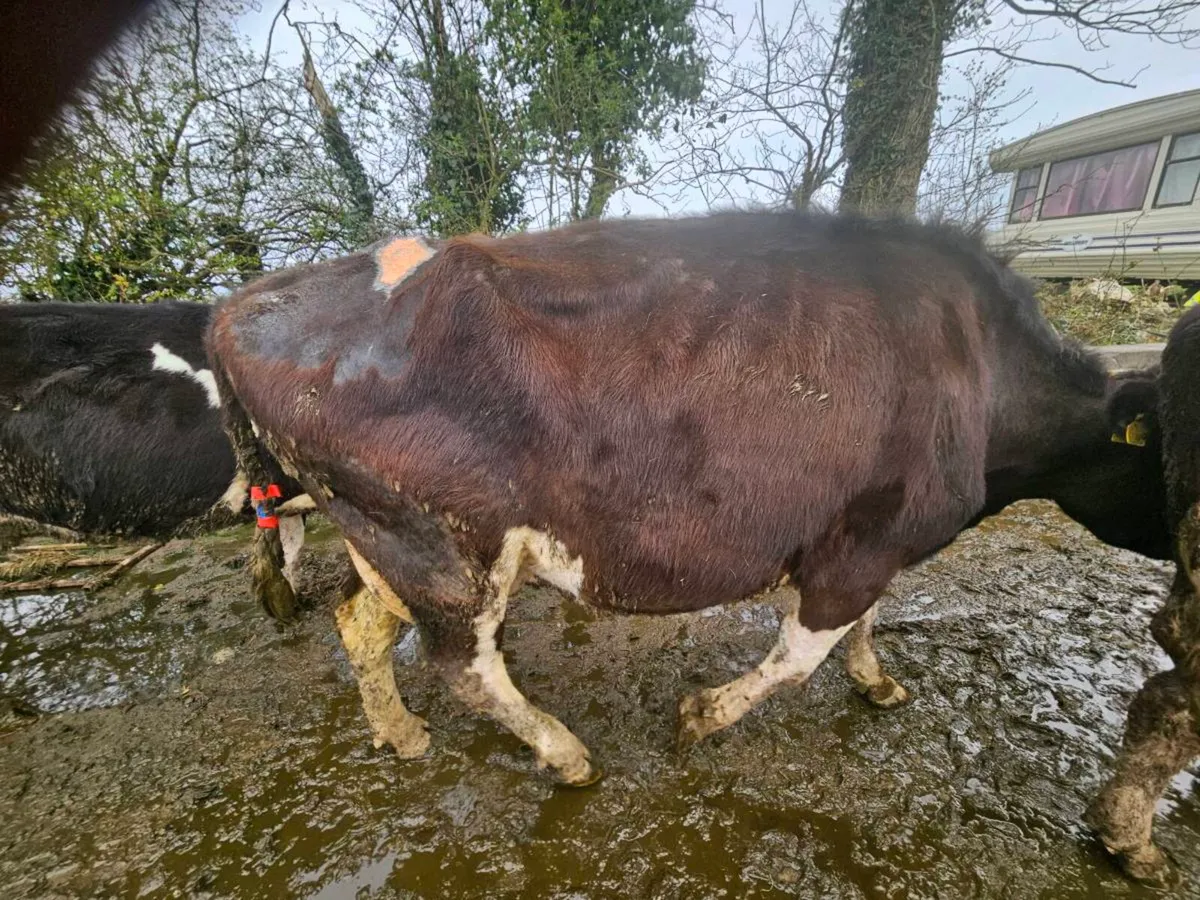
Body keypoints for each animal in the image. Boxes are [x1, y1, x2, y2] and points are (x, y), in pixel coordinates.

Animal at [208, 210, 1175, 797]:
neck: (982, 365)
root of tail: (240, 303)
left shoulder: (879, 534)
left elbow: (862, 628)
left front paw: (877, 683)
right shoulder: (860, 542)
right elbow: (800, 653)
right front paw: (701, 718)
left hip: (382, 533)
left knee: (362, 626)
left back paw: (402, 734)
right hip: (446, 544)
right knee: (466, 666)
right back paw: (566, 755)